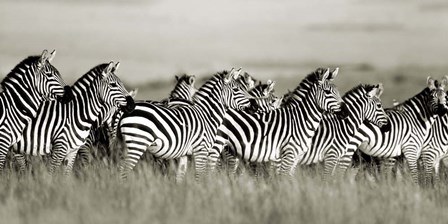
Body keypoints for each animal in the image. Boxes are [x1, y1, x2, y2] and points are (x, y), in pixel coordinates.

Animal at [117, 67, 258, 179]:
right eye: (236, 89)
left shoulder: (184, 154)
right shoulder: (201, 150)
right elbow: (200, 175)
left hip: (127, 146)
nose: (255, 105)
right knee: (123, 171)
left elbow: (180, 177)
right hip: (137, 144)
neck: (207, 114)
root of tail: (125, 112)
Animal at [208, 67, 348, 176]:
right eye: (328, 92)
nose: (346, 111)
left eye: (338, 91)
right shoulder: (284, 156)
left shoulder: (294, 158)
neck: (300, 119)